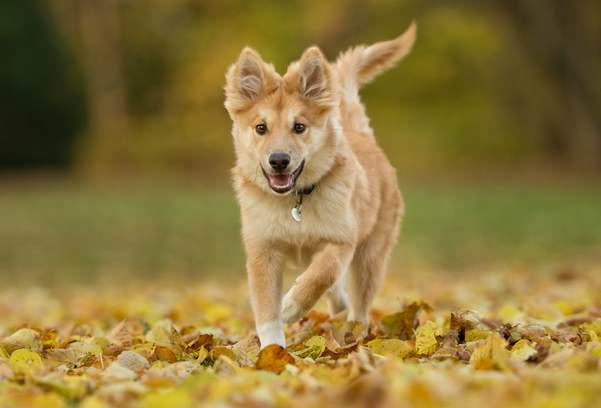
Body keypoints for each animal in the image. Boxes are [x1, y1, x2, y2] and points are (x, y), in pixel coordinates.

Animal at [223, 23, 414, 348]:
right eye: (261, 128)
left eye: (299, 127)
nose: (279, 160)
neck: (293, 203)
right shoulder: (263, 250)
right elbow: (266, 309)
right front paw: (272, 350)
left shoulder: (341, 240)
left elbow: (323, 273)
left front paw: (290, 305)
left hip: (370, 255)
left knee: (358, 301)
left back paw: (355, 331)